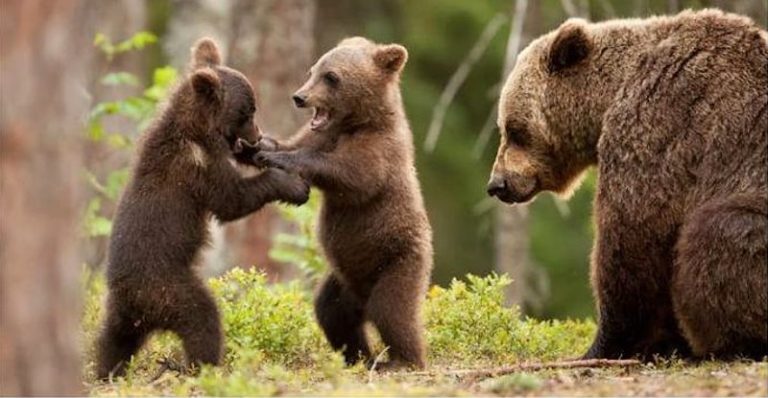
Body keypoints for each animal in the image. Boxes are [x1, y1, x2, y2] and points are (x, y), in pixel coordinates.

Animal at [96, 38, 308, 380]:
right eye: (248, 110)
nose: (257, 135)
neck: (197, 131)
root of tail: (136, 304)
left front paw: (266, 151)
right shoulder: (197, 168)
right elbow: (232, 200)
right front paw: (292, 185)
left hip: (121, 313)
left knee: (112, 341)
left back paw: (106, 371)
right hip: (168, 288)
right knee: (202, 318)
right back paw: (203, 364)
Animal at [252, 37, 432, 370]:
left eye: (331, 77)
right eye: (312, 70)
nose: (299, 97)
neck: (355, 123)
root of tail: (362, 297)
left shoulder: (380, 150)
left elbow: (352, 176)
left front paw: (279, 158)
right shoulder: (322, 134)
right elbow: (296, 143)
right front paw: (262, 144)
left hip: (398, 261)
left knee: (392, 311)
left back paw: (402, 360)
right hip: (343, 281)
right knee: (332, 313)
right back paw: (358, 356)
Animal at [488, 9, 764, 360]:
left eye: (514, 130)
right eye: (505, 127)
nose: (497, 184)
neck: (609, 96)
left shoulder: (660, 124)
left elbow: (632, 234)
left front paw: (605, 344)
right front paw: (665, 341)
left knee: (719, 230)